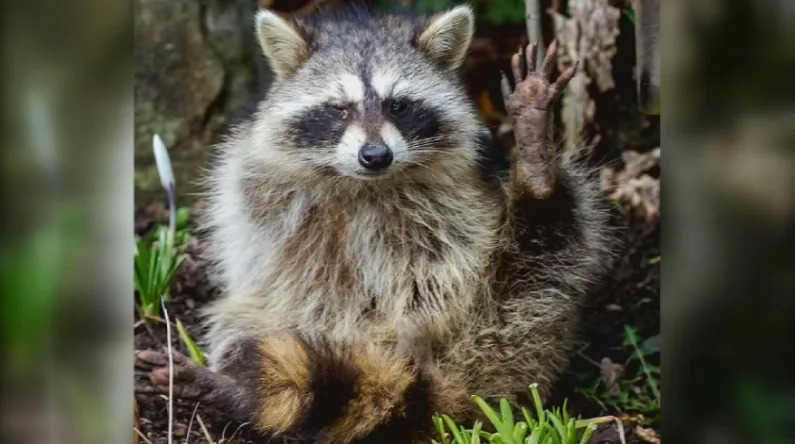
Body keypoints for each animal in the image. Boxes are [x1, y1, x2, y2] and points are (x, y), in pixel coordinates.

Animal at [147, 4, 611, 442]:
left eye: (399, 105)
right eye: (338, 109)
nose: (375, 155)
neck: (362, 183)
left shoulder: (454, 203)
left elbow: (436, 276)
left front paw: (413, 333)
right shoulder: (260, 194)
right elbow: (285, 277)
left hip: (515, 323)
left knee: (545, 253)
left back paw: (536, 174)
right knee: (241, 326)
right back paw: (234, 386)